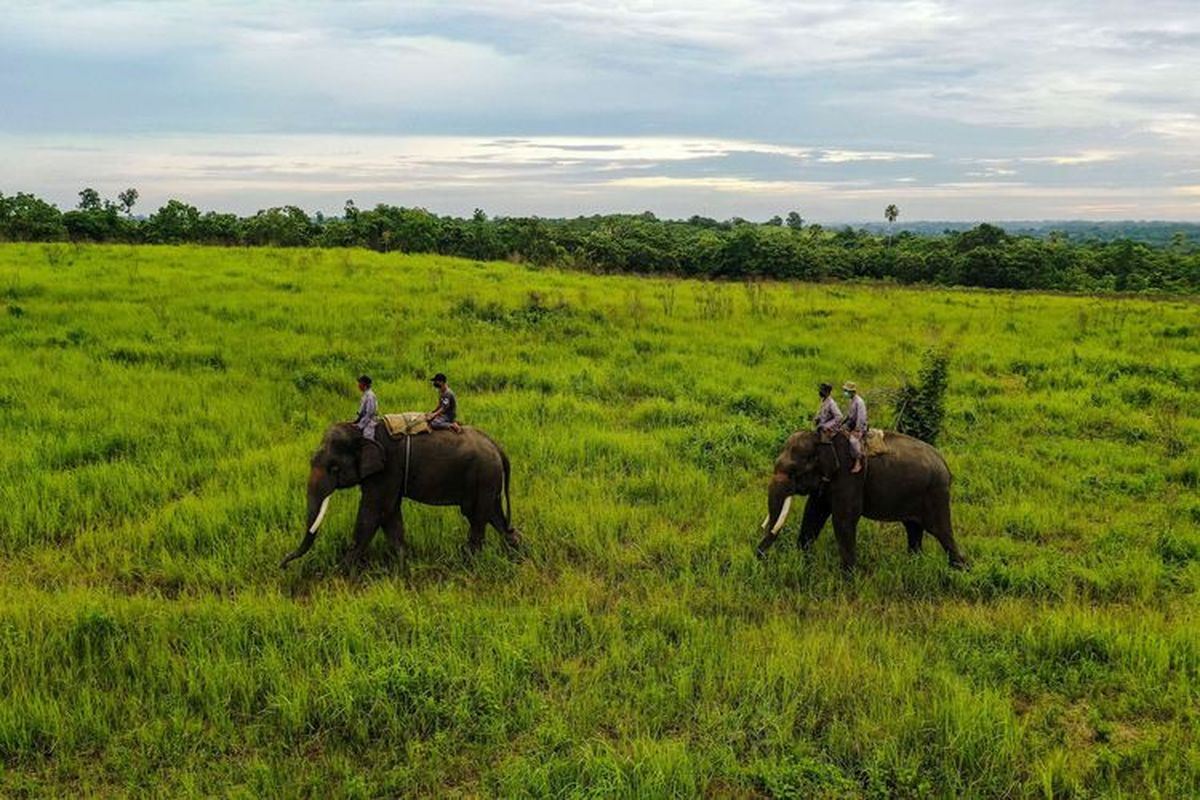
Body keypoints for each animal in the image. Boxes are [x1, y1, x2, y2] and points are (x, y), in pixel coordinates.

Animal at [285, 422, 525, 573]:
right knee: (495, 516)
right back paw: (520, 555)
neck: (360, 430)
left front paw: (339, 572)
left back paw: (470, 565)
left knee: (477, 518)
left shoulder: (387, 469)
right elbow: (390, 512)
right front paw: (403, 568)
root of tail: (498, 447)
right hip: (488, 480)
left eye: (334, 468)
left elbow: (374, 512)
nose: (283, 563)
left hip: (483, 476)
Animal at [758, 431, 964, 568]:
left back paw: (959, 570)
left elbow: (843, 520)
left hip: (936, 493)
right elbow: (813, 514)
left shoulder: (849, 476)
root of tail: (945, 464)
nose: (759, 558)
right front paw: (804, 562)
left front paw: (848, 579)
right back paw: (914, 564)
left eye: (793, 472)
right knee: (913, 528)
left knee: (941, 531)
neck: (822, 438)